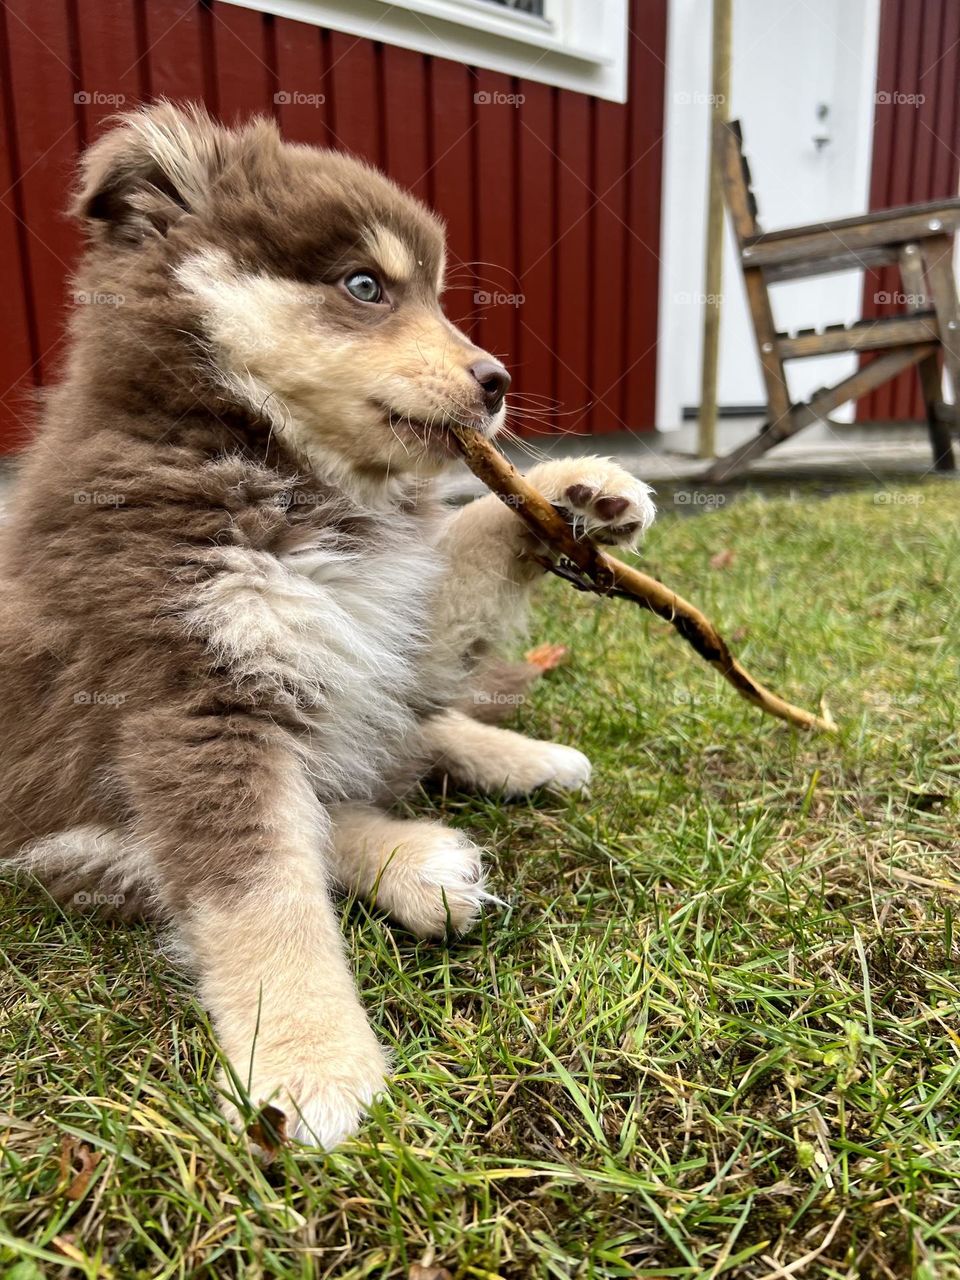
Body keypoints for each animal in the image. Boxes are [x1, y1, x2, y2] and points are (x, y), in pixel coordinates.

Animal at [1, 107, 655, 1152]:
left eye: (436, 295)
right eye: (365, 286)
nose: (497, 380)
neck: (292, 480)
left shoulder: (382, 611)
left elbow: (468, 541)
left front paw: (567, 491)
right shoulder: (197, 706)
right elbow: (266, 898)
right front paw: (310, 1062)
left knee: (415, 732)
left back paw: (523, 759)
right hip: (51, 825)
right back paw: (416, 863)